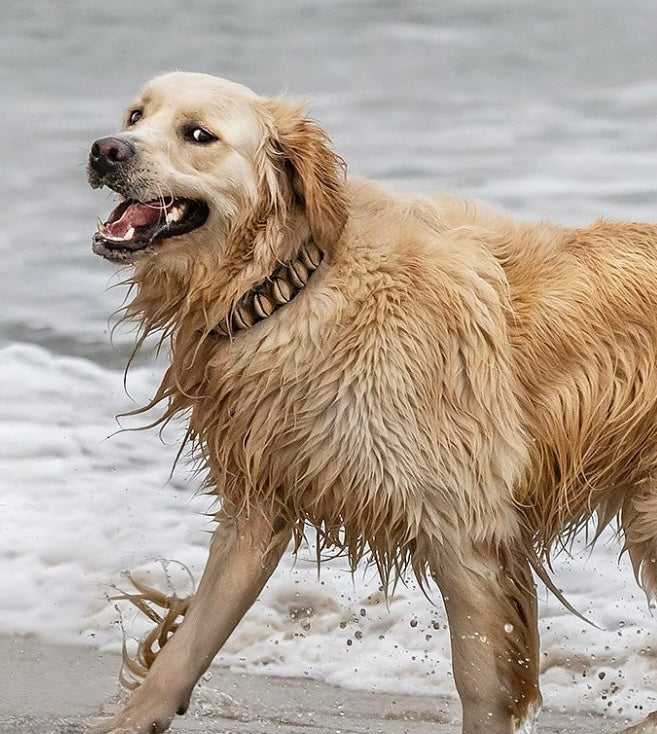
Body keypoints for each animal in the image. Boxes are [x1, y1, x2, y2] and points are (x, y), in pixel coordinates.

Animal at [88, 70, 656, 734]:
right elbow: (192, 639)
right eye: (135, 115)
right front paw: (134, 719)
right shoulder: (259, 500)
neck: (289, 284)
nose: (105, 150)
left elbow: (480, 681)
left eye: (198, 134)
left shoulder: (466, 526)